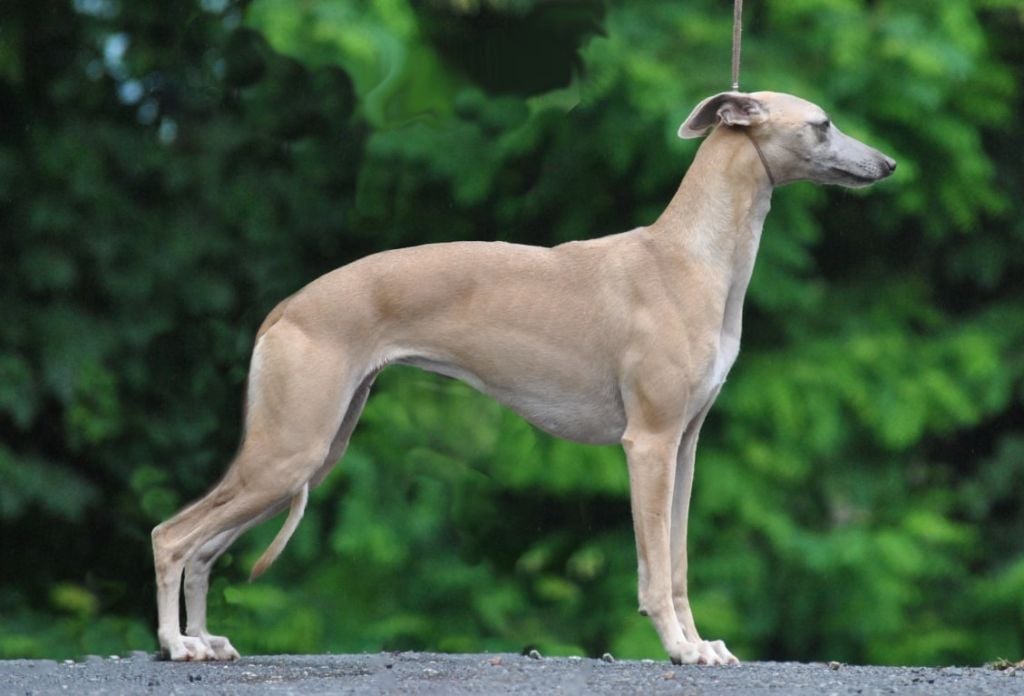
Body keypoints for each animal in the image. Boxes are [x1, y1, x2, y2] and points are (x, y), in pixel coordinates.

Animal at [151, 91, 897, 663]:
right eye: (823, 123)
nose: (888, 164)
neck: (693, 255)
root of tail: (283, 310)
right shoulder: (648, 443)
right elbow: (655, 569)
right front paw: (680, 649)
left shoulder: (684, 446)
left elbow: (679, 563)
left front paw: (700, 644)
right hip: (289, 450)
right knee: (171, 536)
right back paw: (176, 642)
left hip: (309, 451)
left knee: (205, 548)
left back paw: (204, 640)